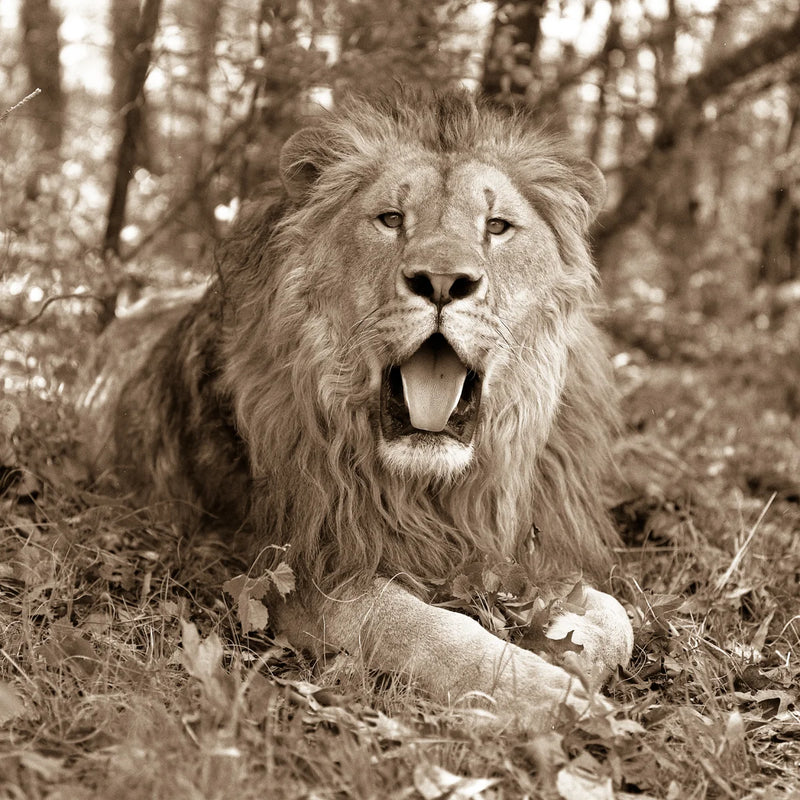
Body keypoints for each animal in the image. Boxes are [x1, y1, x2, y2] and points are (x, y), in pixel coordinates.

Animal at [79, 89, 633, 728]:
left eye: (497, 227)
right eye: (391, 219)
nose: (443, 279)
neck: (430, 489)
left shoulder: (510, 543)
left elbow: (617, 618)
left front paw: (565, 646)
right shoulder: (291, 573)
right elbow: (420, 627)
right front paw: (545, 692)